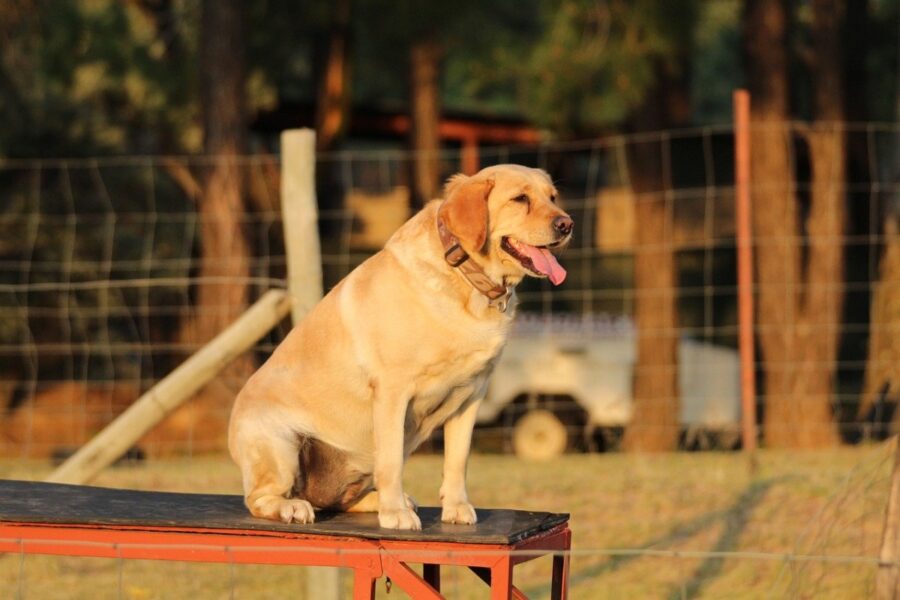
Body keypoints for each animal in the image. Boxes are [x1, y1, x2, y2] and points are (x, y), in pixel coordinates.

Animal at [229, 164, 572, 528]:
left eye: (552, 197)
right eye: (520, 199)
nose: (567, 224)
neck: (465, 279)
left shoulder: (471, 397)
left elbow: (457, 460)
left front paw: (455, 508)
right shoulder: (393, 391)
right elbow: (392, 462)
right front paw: (395, 514)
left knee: (337, 501)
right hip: (280, 444)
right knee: (260, 498)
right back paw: (294, 507)